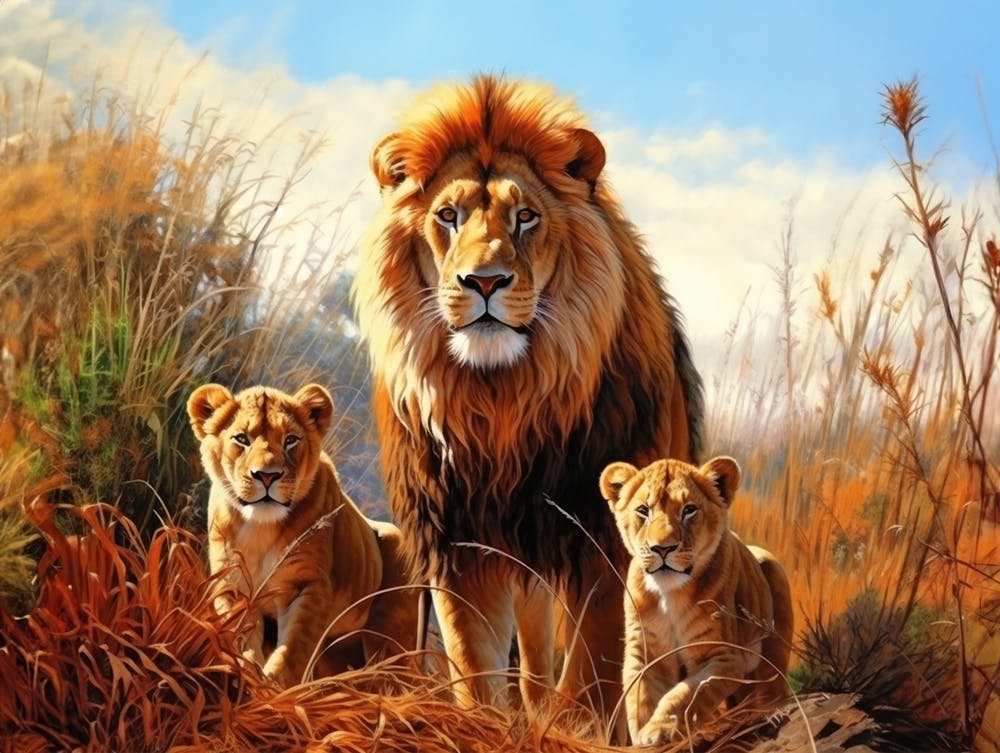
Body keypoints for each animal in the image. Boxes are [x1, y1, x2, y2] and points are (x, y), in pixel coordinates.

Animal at [187, 382, 421, 687]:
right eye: (241, 439)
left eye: (290, 440)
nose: (267, 475)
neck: (260, 529)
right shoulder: (234, 586)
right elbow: (242, 638)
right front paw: (250, 673)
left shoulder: (308, 585)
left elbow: (293, 647)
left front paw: (275, 686)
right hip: (336, 652)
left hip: (390, 636)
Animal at [352, 74, 704, 716]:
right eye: (448, 215)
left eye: (525, 217)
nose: (485, 281)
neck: (505, 402)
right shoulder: (458, 545)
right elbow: (474, 666)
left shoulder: (607, 545)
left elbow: (593, 674)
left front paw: (570, 725)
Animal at [599, 456, 794, 744]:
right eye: (643, 510)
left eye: (689, 510)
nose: (662, 548)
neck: (667, 594)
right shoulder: (645, 652)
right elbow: (640, 697)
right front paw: (642, 736)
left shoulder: (723, 656)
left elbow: (686, 695)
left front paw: (658, 730)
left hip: (773, 582)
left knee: (774, 685)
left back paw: (772, 714)